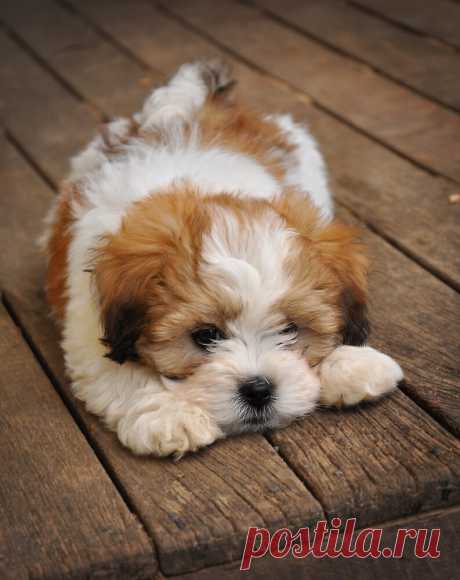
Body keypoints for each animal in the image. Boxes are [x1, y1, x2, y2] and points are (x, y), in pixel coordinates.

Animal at [44, 59, 402, 458]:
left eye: (290, 329)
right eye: (206, 336)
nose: (258, 389)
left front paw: (354, 363)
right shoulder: (89, 326)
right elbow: (119, 372)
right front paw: (170, 415)